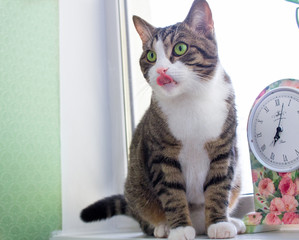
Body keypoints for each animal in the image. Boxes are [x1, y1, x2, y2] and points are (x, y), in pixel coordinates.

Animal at [80, 0, 246, 239]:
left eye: (180, 48)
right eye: (150, 56)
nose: (160, 69)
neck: (190, 101)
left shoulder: (223, 149)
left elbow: (218, 187)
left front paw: (219, 224)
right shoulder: (161, 153)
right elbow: (172, 192)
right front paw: (180, 228)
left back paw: (231, 221)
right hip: (136, 189)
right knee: (145, 218)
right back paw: (163, 226)